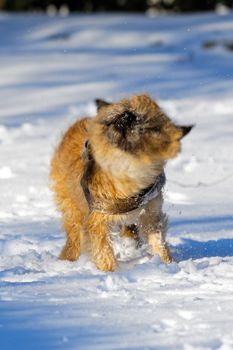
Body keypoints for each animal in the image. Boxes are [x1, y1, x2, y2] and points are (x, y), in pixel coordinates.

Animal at [49, 94, 193, 272]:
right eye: (125, 110)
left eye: (147, 123)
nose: (127, 116)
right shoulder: (97, 219)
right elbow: (103, 251)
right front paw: (110, 272)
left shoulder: (151, 214)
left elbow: (158, 242)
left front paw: (166, 264)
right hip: (73, 209)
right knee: (74, 236)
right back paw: (68, 259)